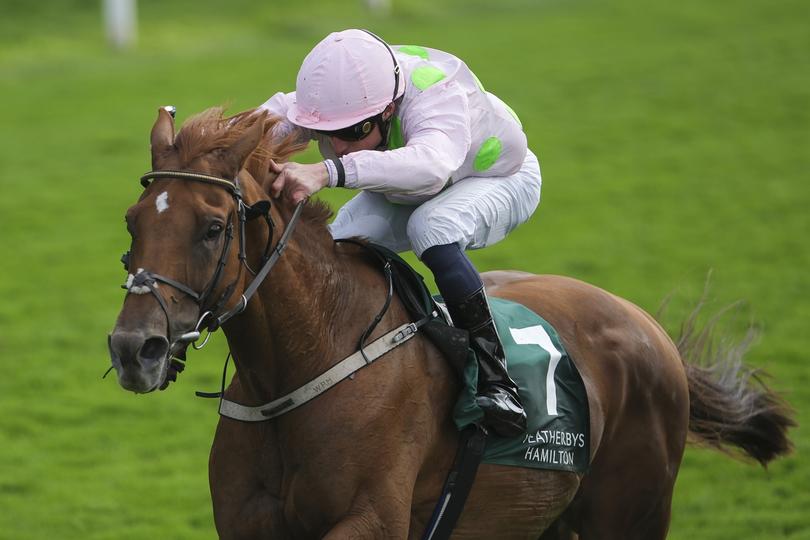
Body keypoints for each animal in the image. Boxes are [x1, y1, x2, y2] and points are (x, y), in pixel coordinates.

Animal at [105, 107, 788, 536]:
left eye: (213, 227)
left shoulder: (373, 519)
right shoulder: (247, 522)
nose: (134, 349)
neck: (304, 364)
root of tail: (644, 323)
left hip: (631, 513)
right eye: (133, 221)